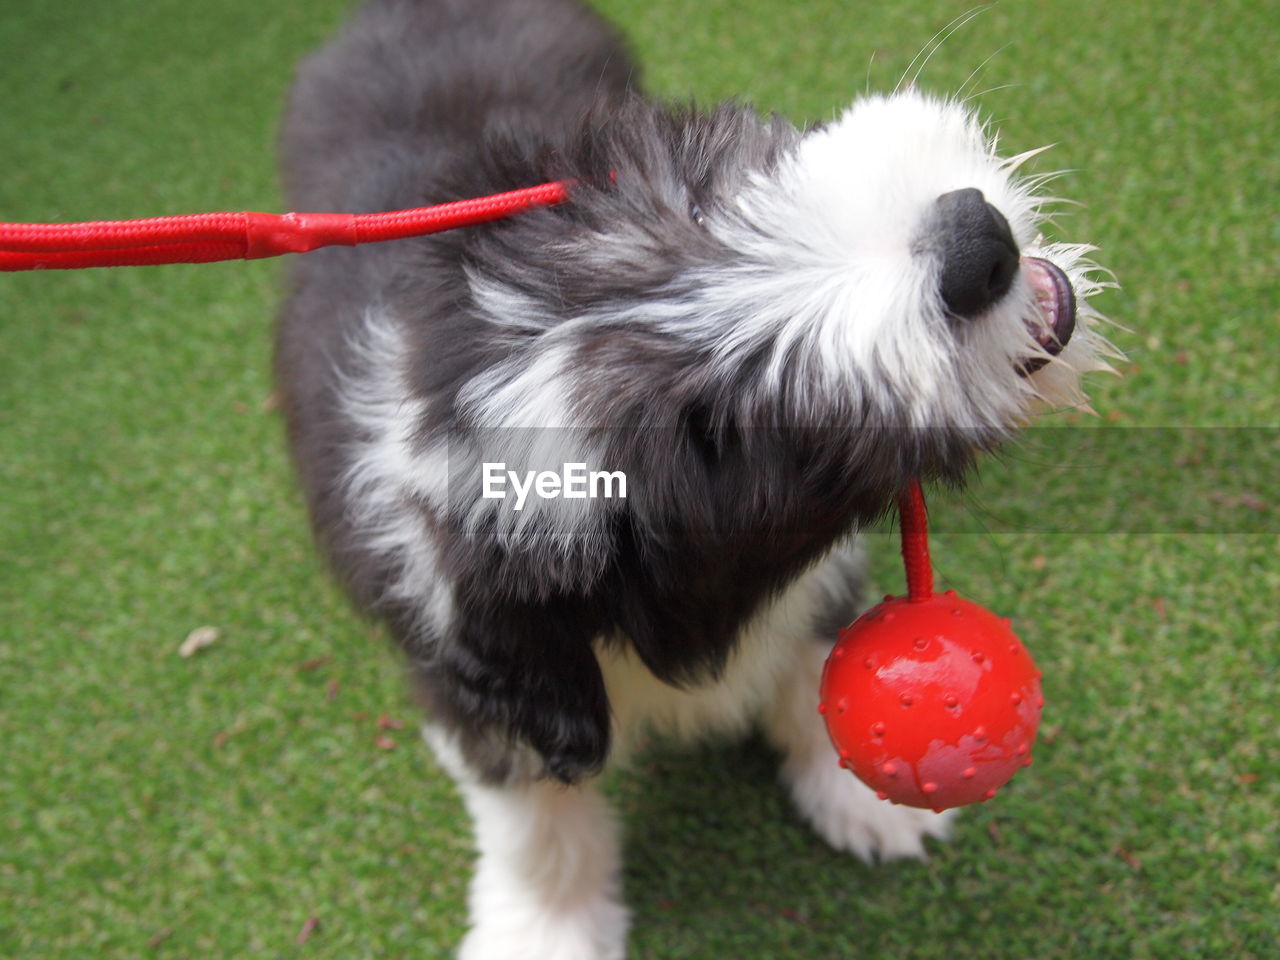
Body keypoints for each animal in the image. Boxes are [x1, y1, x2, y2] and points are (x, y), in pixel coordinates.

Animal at [277, 0, 1111, 957]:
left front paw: (857, 796)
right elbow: (532, 818)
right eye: (717, 438)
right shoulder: (476, 672)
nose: (977, 246)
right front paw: (544, 929)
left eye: (696, 203)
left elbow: (814, 638)